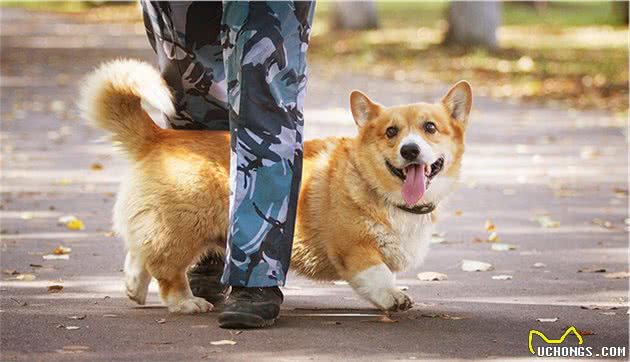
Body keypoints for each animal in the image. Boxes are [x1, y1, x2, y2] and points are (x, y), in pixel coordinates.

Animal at [80, 59, 474, 314]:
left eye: (430, 128)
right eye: (391, 132)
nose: (410, 150)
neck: (376, 187)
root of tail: (160, 137)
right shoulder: (354, 249)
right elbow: (378, 275)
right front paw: (394, 297)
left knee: (140, 254)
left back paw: (134, 290)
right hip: (184, 228)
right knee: (168, 270)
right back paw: (187, 302)